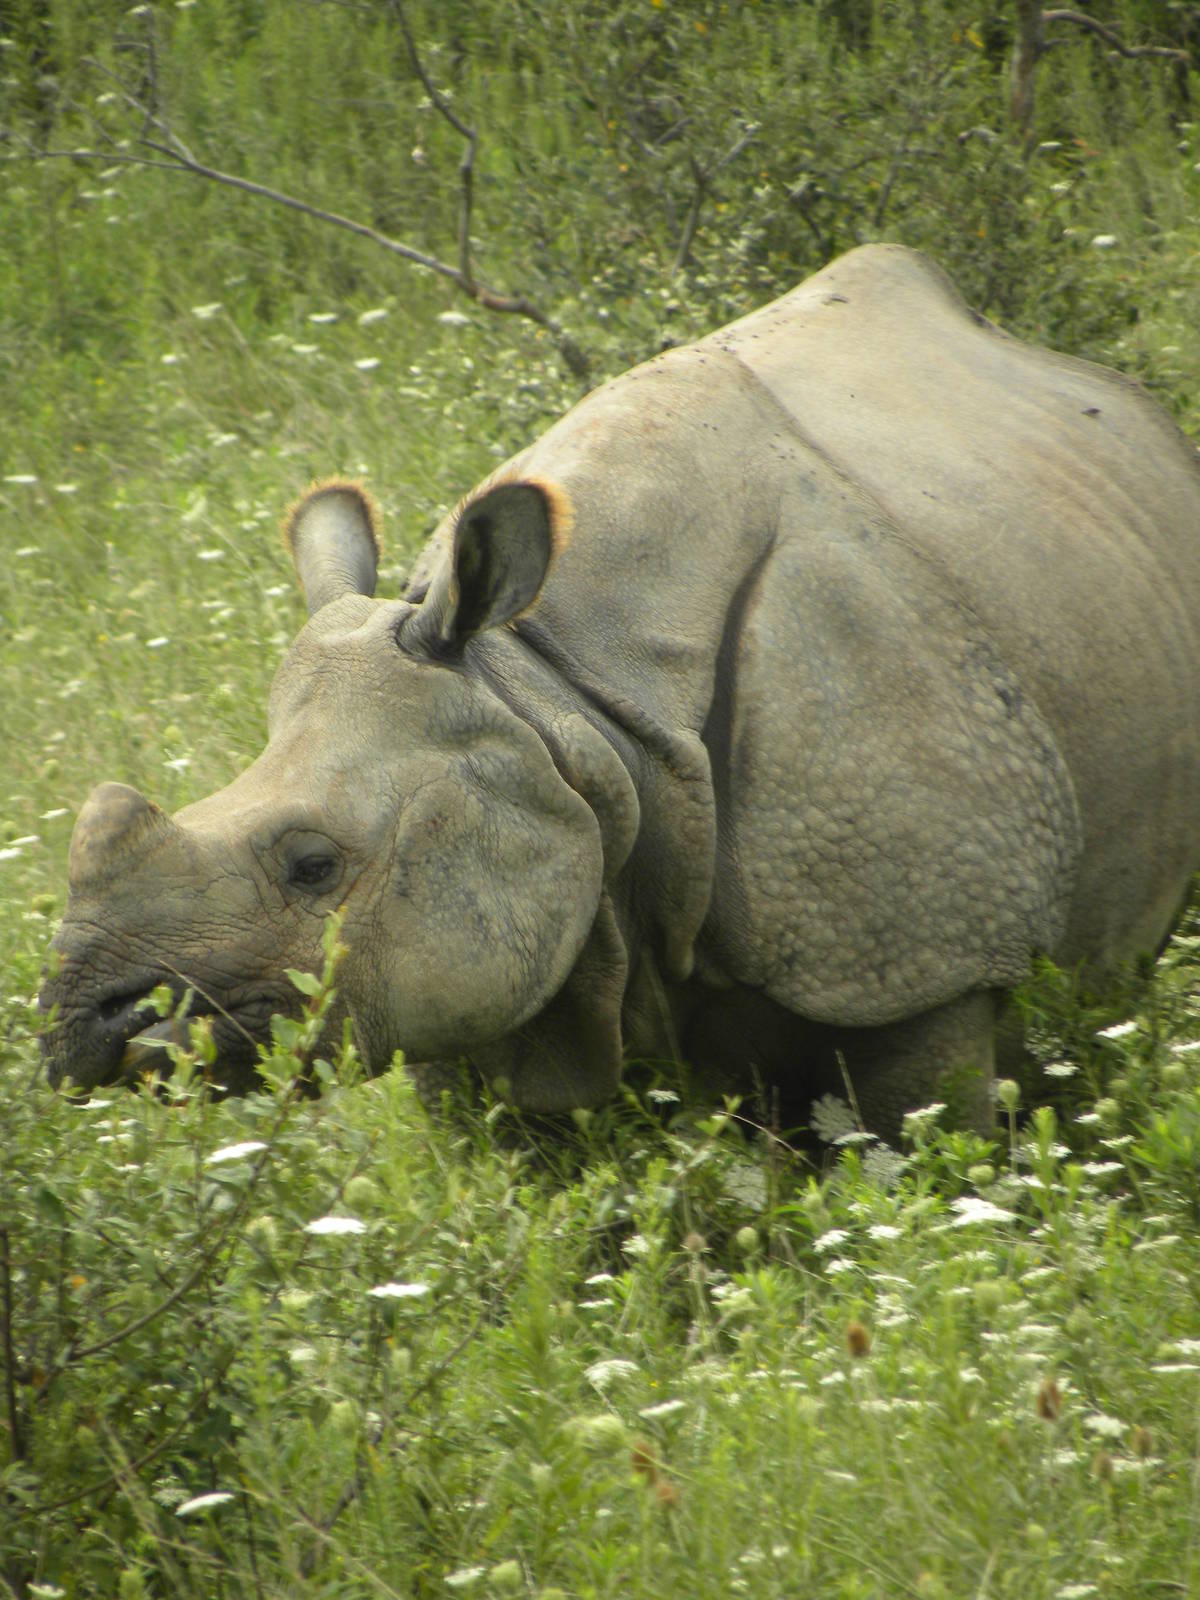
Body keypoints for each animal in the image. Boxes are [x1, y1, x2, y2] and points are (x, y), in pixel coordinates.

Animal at [40, 244, 1200, 1135]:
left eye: (314, 866)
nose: (79, 1030)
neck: (558, 704)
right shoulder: (459, 975)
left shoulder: (926, 955)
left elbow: (922, 1154)